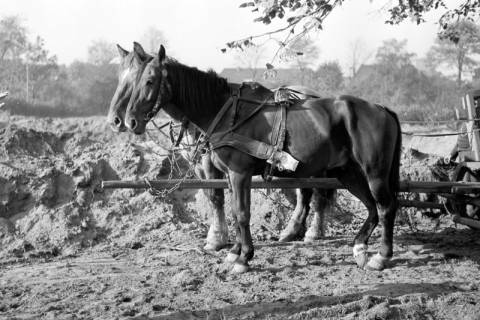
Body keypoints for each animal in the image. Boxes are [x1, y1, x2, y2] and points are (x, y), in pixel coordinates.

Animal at [105, 44, 334, 250]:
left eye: (148, 81)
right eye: (123, 79)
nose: (123, 121)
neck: (219, 111)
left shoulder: (212, 163)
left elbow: (216, 196)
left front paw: (217, 239)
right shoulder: (200, 165)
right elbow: (212, 196)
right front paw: (221, 236)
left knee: (318, 194)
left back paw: (312, 231)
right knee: (306, 193)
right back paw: (293, 231)